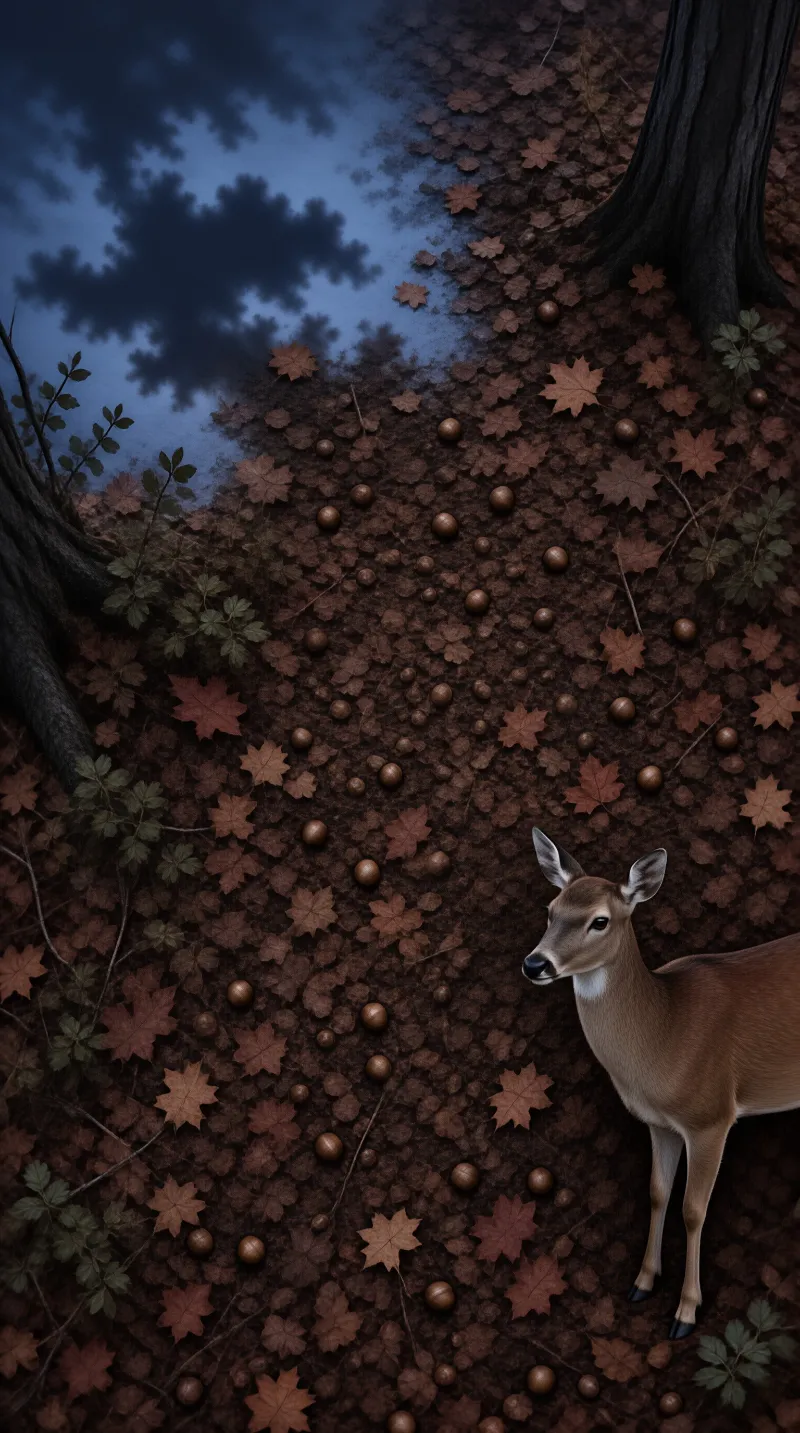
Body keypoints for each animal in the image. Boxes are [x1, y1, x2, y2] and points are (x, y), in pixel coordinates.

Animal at [521, 827, 800, 1340]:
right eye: (551, 910)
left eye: (600, 921)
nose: (535, 964)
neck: (664, 1036)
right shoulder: (658, 1124)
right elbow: (657, 1193)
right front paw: (641, 1284)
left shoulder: (711, 1117)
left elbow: (693, 1210)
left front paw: (685, 1313)